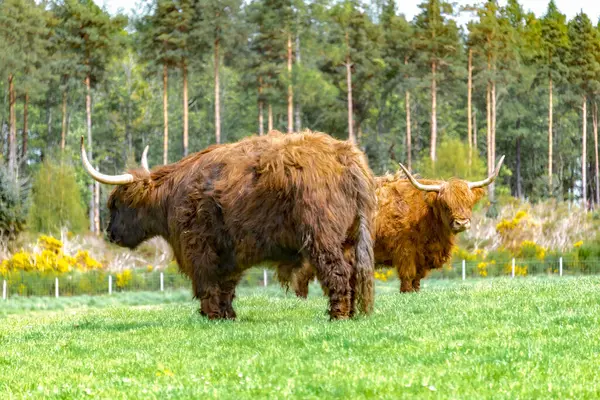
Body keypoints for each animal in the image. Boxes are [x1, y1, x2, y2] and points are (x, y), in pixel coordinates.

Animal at [81, 130, 376, 318]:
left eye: (117, 204)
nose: (110, 234)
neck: (169, 198)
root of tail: (345, 156)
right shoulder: (229, 250)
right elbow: (226, 285)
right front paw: (227, 315)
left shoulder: (198, 246)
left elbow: (207, 282)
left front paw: (210, 315)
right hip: (349, 237)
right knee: (352, 272)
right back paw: (350, 313)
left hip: (322, 236)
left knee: (337, 272)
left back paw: (337, 316)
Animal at [280, 156, 502, 294]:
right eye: (445, 204)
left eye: (469, 203)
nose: (462, 222)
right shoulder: (405, 251)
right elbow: (408, 276)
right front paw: (407, 293)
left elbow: (417, 278)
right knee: (301, 277)